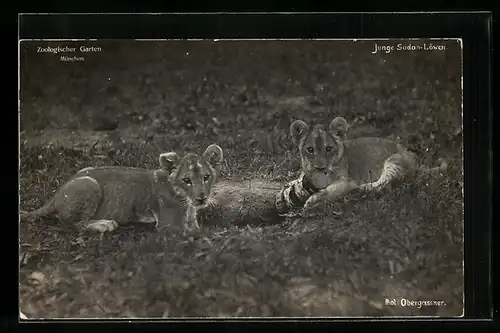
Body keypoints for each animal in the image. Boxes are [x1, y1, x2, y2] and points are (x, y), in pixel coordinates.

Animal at [19, 144, 223, 232]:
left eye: (206, 177)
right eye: (187, 180)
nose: (202, 198)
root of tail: (55, 195)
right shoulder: (168, 225)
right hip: (90, 184)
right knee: (75, 224)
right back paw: (105, 224)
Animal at [276, 116, 448, 213]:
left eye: (329, 149)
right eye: (310, 149)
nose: (320, 167)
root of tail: (417, 163)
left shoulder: (347, 182)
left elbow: (330, 191)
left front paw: (312, 201)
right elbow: (291, 182)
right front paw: (281, 197)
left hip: (394, 161)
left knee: (386, 183)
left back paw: (364, 188)